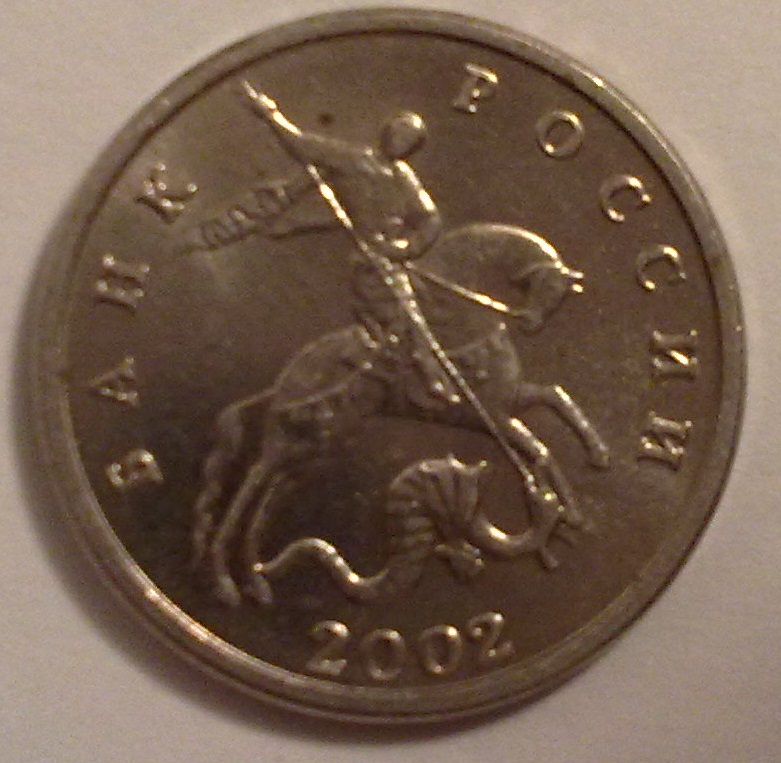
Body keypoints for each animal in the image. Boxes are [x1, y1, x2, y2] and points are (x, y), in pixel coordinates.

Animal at [191, 222, 610, 606]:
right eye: (548, 287)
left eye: (559, 293)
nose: (530, 323)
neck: (460, 320)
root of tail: (282, 386)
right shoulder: (491, 415)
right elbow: (539, 447)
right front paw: (562, 506)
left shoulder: (509, 402)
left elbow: (555, 399)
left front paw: (590, 468)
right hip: (289, 446)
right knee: (249, 485)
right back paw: (226, 582)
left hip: (310, 451)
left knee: (266, 499)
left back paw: (256, 579)